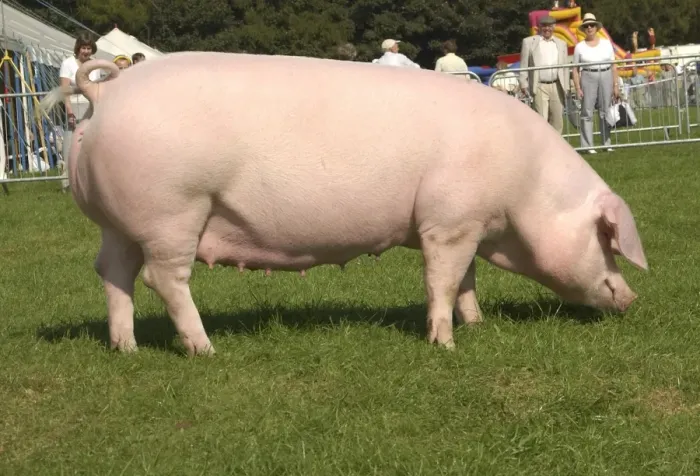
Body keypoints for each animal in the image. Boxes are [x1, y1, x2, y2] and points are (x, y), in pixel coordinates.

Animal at [40, 52, 648, 357]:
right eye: (606, 238)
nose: (632, 299)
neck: (525, 189)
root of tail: (106, 93)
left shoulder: (463, 222)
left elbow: (466, 280)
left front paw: (475, 326)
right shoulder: (448, 222)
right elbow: (442, 280)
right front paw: (446, 346)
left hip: (118, 223)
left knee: (113, 272)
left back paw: (126, 350)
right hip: (173, 210)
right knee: (163, 278)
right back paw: (204, 349)